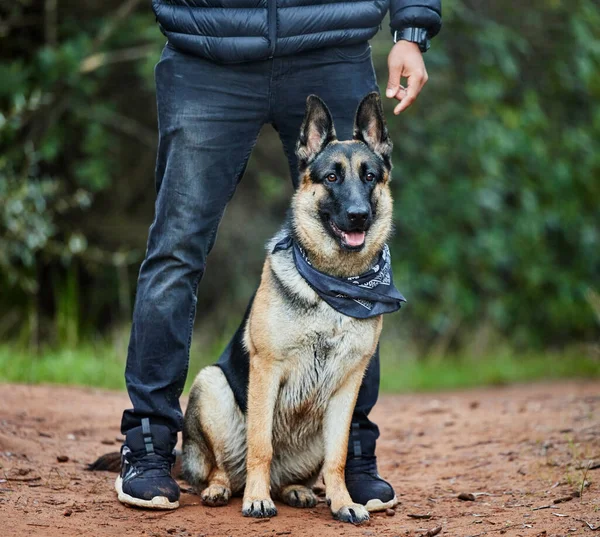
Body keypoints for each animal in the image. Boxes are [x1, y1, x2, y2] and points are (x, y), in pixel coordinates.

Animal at [185, 93, 396, 524]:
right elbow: (261, 446)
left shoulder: (348, 385)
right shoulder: (267, 370)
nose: (359, 216)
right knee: (222, 467)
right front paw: (256, 499)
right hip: (211, 385)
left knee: (296, 475)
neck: (335, 285)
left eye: (369, 177)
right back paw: (223, 489)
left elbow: (338, 457)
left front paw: (344, 502)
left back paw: (297, 490)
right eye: (331, 178)